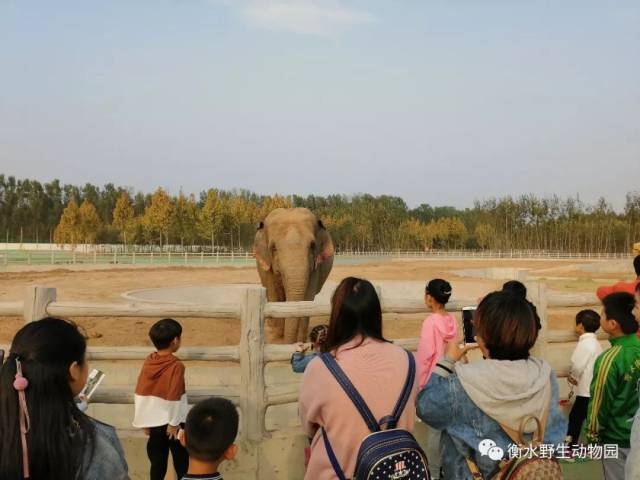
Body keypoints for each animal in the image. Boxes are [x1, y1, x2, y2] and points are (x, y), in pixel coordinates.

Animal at [254, 208, 336, 344]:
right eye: (274, 248)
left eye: (312, 245)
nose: (290, 343)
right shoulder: (267, 267)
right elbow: (274, 295)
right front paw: (277, 337)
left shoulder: (315, 266)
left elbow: (307, 298)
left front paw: (300, 340)